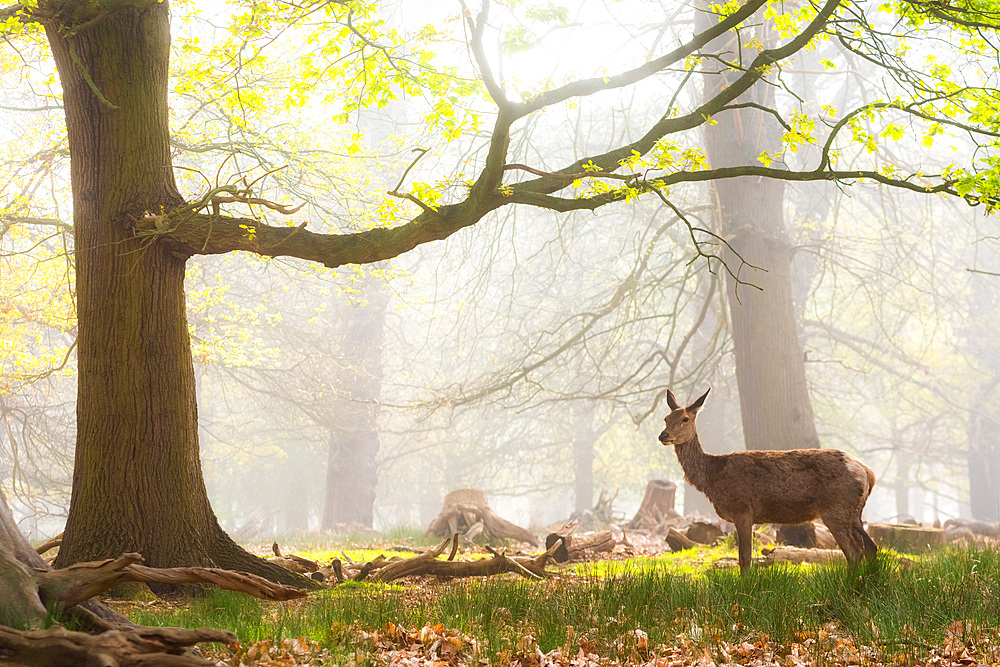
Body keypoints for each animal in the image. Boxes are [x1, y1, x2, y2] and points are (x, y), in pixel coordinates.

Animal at [660, 388, 880, 572]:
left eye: (685, 419)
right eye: (666, 418)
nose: (663, 435)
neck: (712, 477)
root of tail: (868, 473)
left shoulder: (742, 509)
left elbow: (745, 559)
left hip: (835, 508)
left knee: (854, 553)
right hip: (854, 513)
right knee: (872, 548)